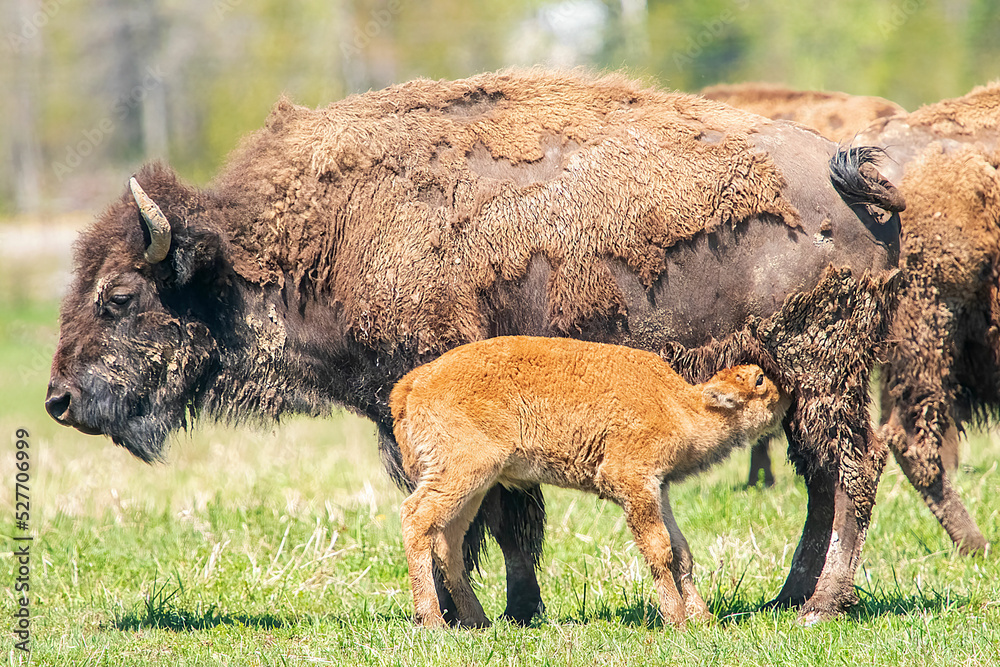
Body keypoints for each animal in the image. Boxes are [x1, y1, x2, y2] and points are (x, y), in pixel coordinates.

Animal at [45, 69, 904, 625]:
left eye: (119, 297)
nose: (59, 398)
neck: (321, 235)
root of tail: (853, 193)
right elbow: (498, 517)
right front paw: (511, 611)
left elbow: (500, 515)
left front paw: (496, 611)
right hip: (799, 379)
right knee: (822, 476)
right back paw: (789, 597)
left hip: (822, 367)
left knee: (851, 469)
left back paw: (820, 606)